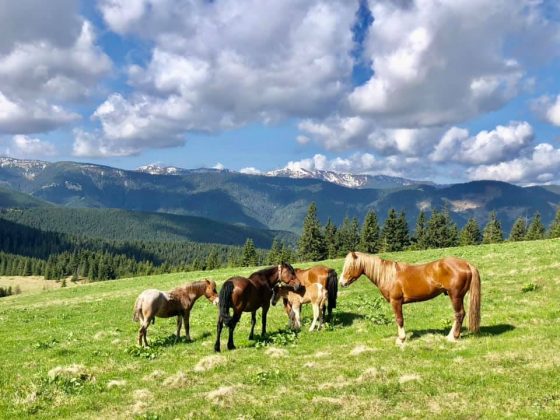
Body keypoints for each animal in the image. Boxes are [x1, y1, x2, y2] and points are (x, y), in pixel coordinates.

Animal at [340, 253, 480, 344]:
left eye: (350, 266)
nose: (342, 282)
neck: (389, 275)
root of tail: (467, 264)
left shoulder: (396, 301)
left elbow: (399, 319)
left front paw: (401, 339)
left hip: (455, 296)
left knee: (459, 314)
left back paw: (453, 337)